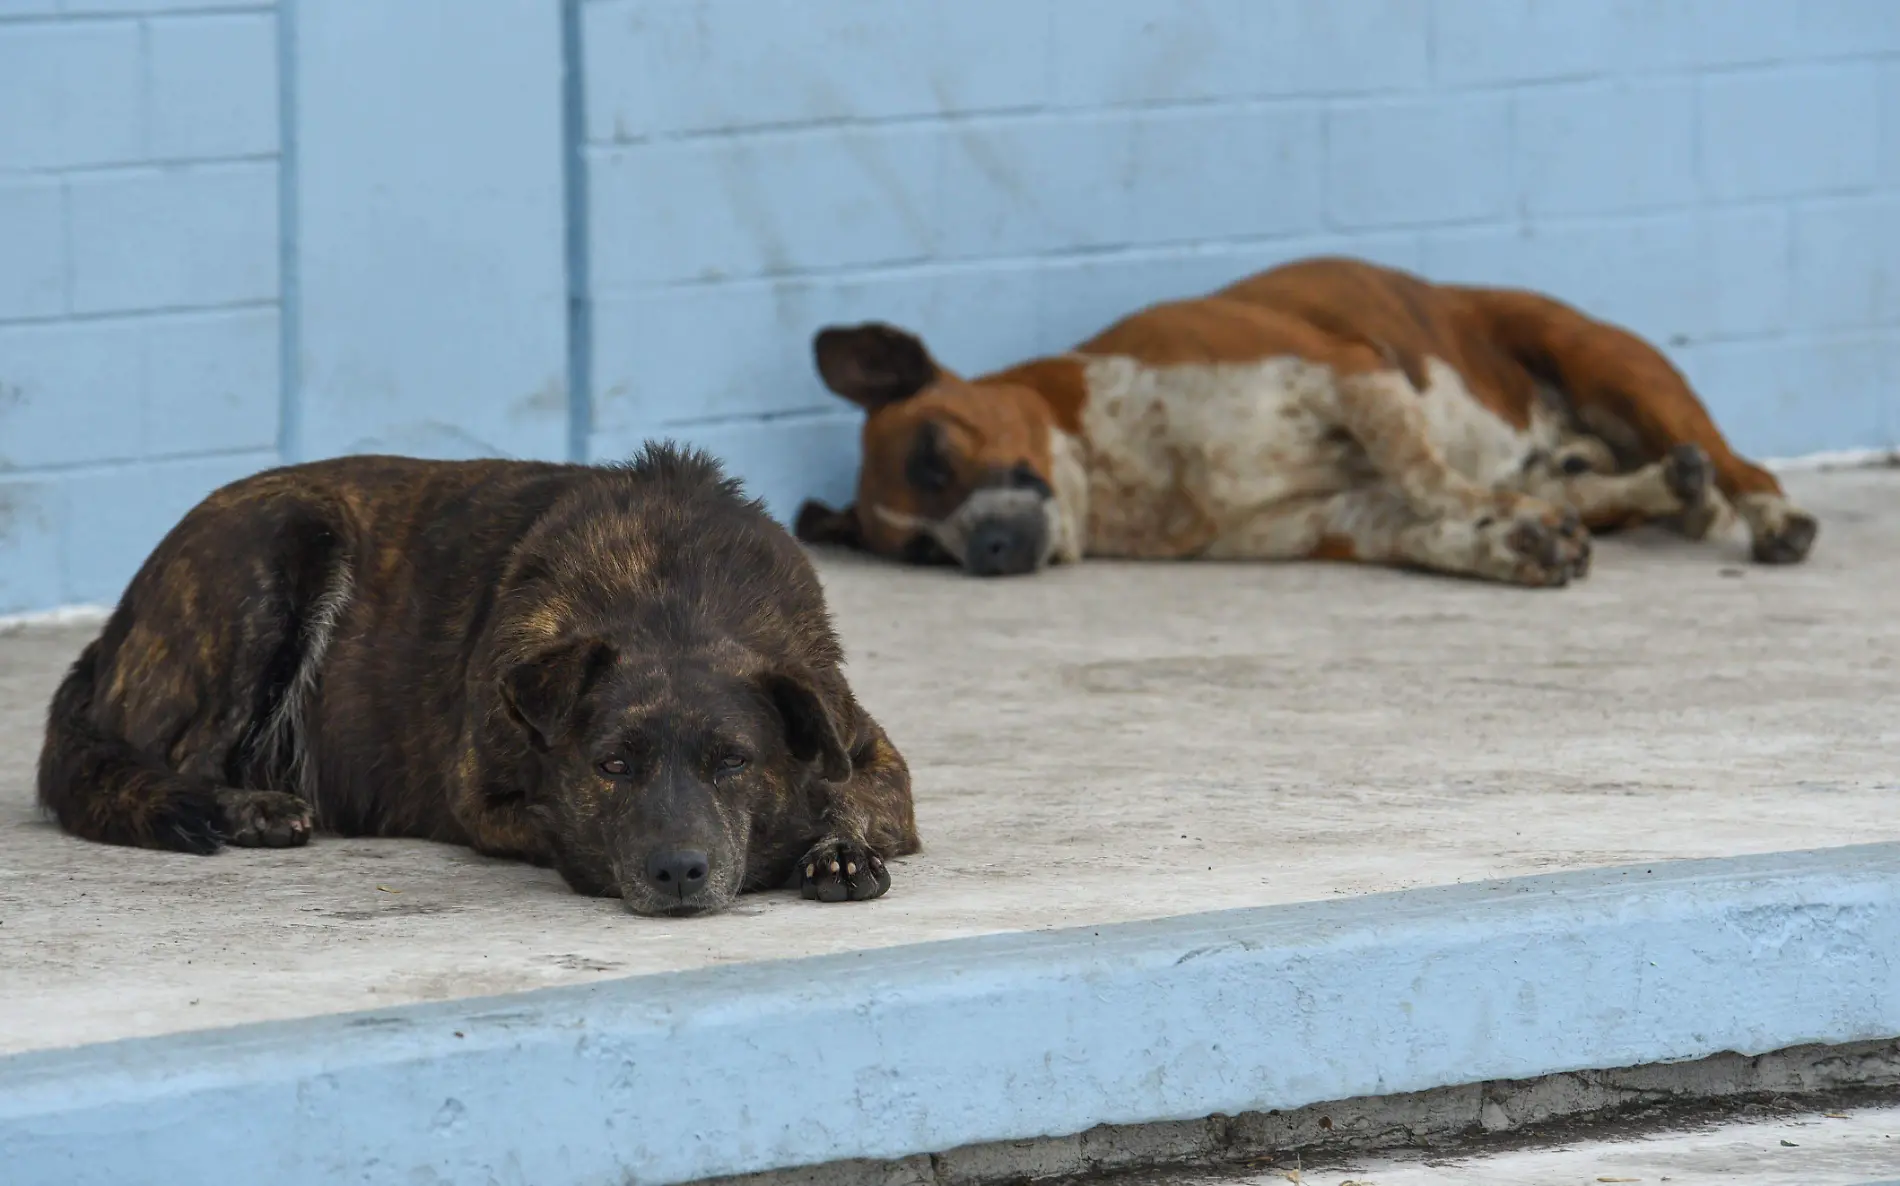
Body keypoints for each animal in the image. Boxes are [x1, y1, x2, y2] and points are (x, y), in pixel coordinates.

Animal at [35, 444, 912, 916]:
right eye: (612, 765)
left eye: (734, 762)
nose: (677, 873)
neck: (671, 596)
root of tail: (116, 625)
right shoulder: (484, 800)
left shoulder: (872, 755)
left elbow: (850, 798)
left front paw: (835, 849)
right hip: (273, 549)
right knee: (177, 760)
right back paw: (250, 809)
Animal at [794, 254, 1816, 585]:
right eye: (924, 553)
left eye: (933, 456)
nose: (988, 552)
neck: (1119, 468)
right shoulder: (1322, 521)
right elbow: (1427, 525)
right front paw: (1508, 543)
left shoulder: (1347, 377)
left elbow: (1424, 473)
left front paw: (1504, 525)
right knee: (1618, 482)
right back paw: (1663, 488)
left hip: (1603, 359)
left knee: (1739, 465)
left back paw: (1762, 511)